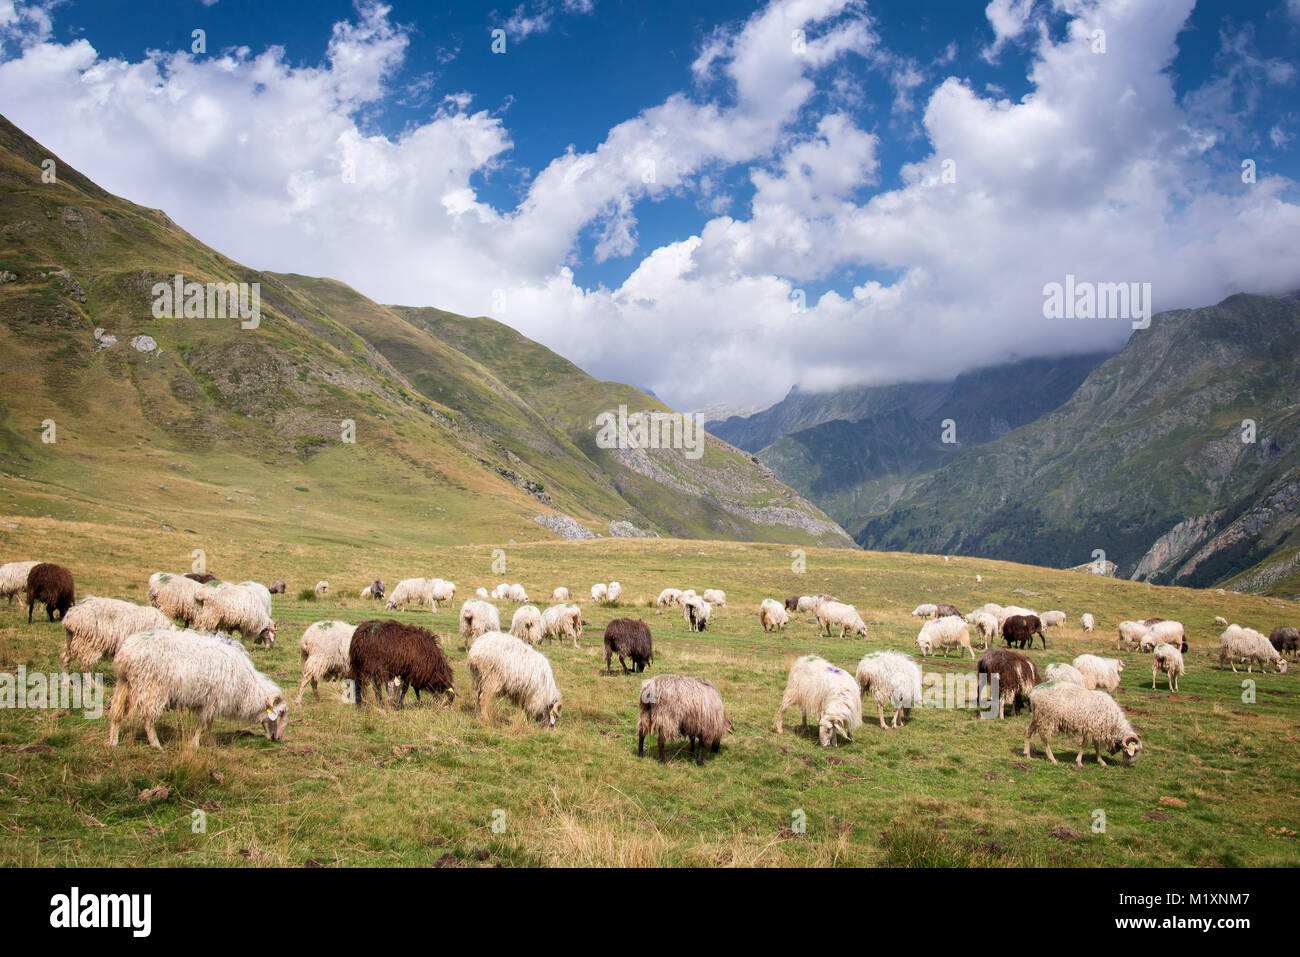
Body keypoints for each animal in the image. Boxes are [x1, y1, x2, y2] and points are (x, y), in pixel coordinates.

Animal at [109, 631, 287, 748]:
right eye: (280, 714)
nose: (276, 738)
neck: (246, 688)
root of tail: (127, 653)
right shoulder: (213, 701)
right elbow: (203, 723)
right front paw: (195, 744)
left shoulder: (211, 702)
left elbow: (209, 724)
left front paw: (211, 744)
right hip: (153, 687)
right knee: (147, 719)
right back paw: (156, 744)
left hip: (124, 684)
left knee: (116, 713)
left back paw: (113, 742)